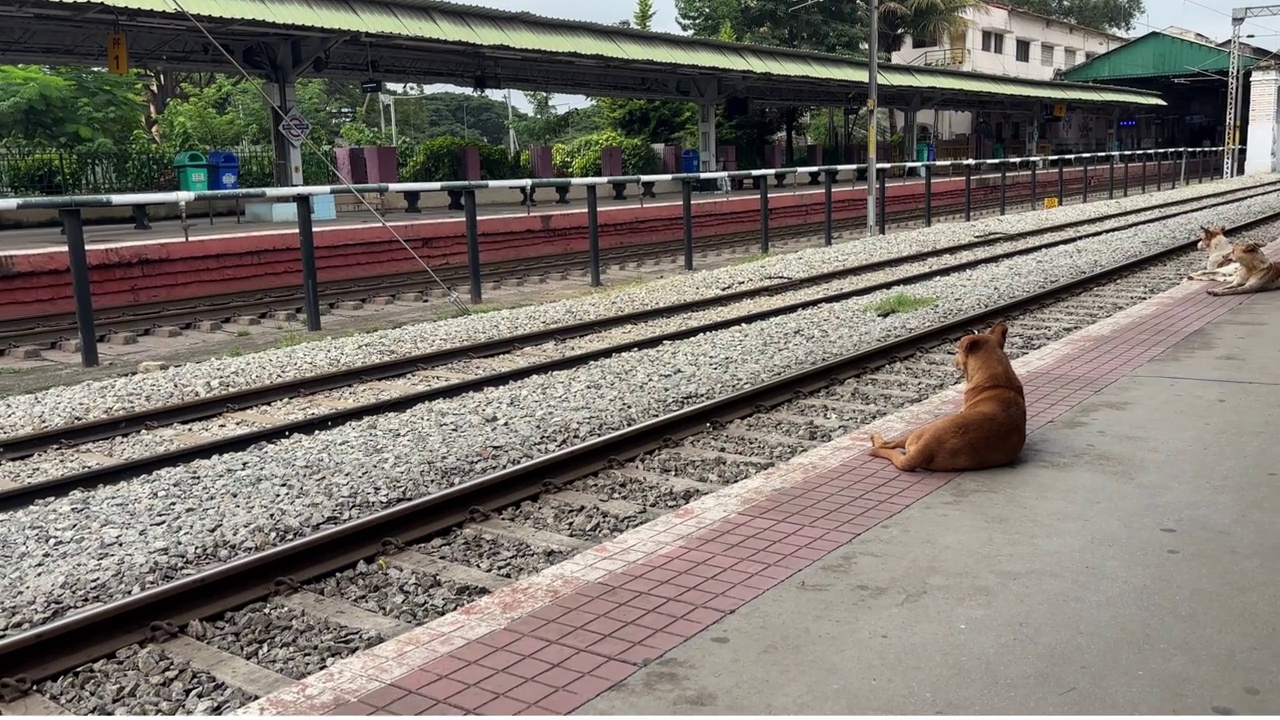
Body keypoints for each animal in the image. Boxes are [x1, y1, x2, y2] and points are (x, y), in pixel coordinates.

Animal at [865, 319, 1024, 471]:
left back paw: (875, 439)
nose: (952, 358)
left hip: (917, 431)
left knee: (887, 444)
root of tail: (927, 448)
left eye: (957, 351)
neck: (996, 376)